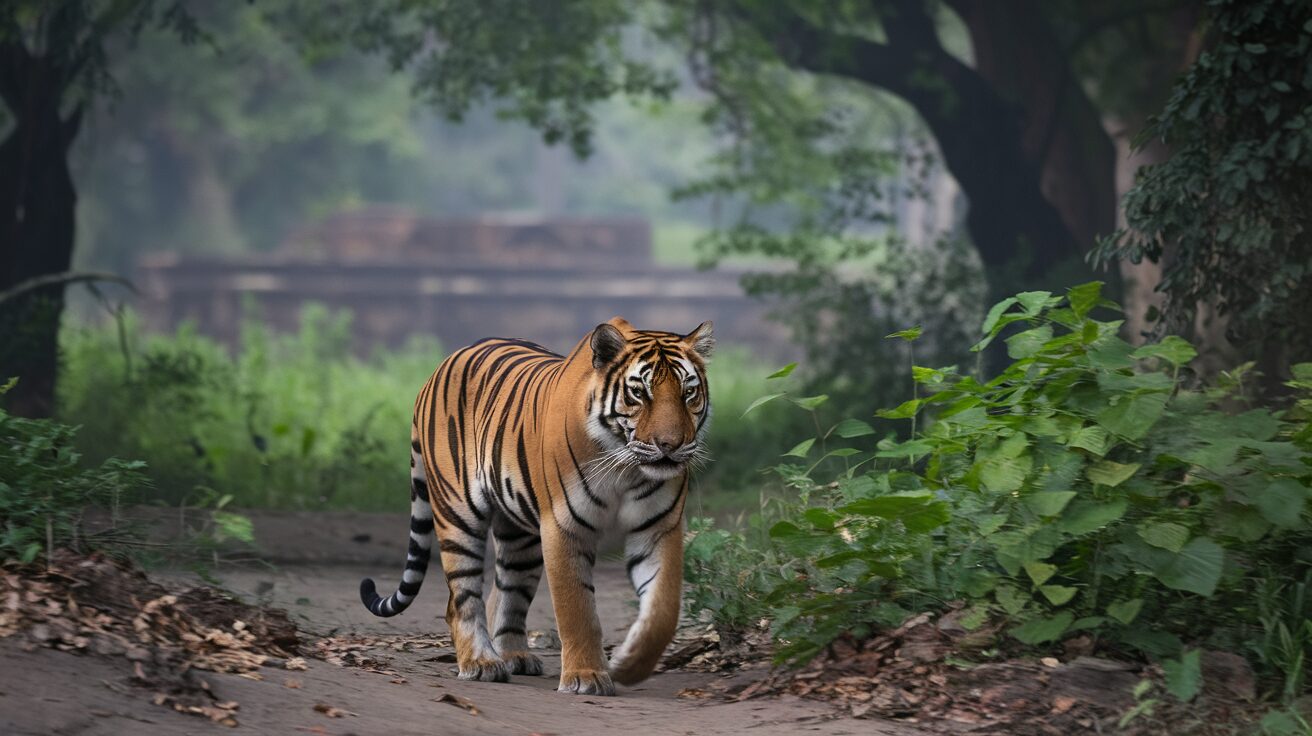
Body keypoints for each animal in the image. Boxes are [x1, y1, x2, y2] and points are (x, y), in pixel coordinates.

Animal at [360, 316, 713, 695]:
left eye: (688, 392)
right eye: (639, 393)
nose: (670, 445)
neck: (625, 468)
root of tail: (435, 372)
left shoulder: (658, 529)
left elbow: (663, 609)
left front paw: (630, 665)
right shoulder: (563, 527)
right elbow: (577, 609)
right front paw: (586, 676)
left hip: (520, 536)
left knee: (507, 594)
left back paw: (514, 656)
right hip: (458, 514)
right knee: (461, 600)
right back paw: (481, 663)